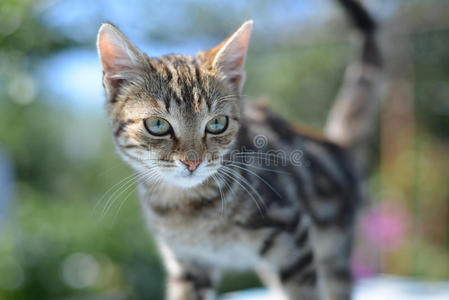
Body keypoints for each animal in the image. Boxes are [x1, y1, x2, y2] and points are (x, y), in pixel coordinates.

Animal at [96, 0, 380, 300]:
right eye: (158, 125)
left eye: (217, 123)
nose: (193, 162)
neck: (189, 209)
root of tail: (334, 143)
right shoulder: (187, 264)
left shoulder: (294, 238)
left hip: (331, 252)